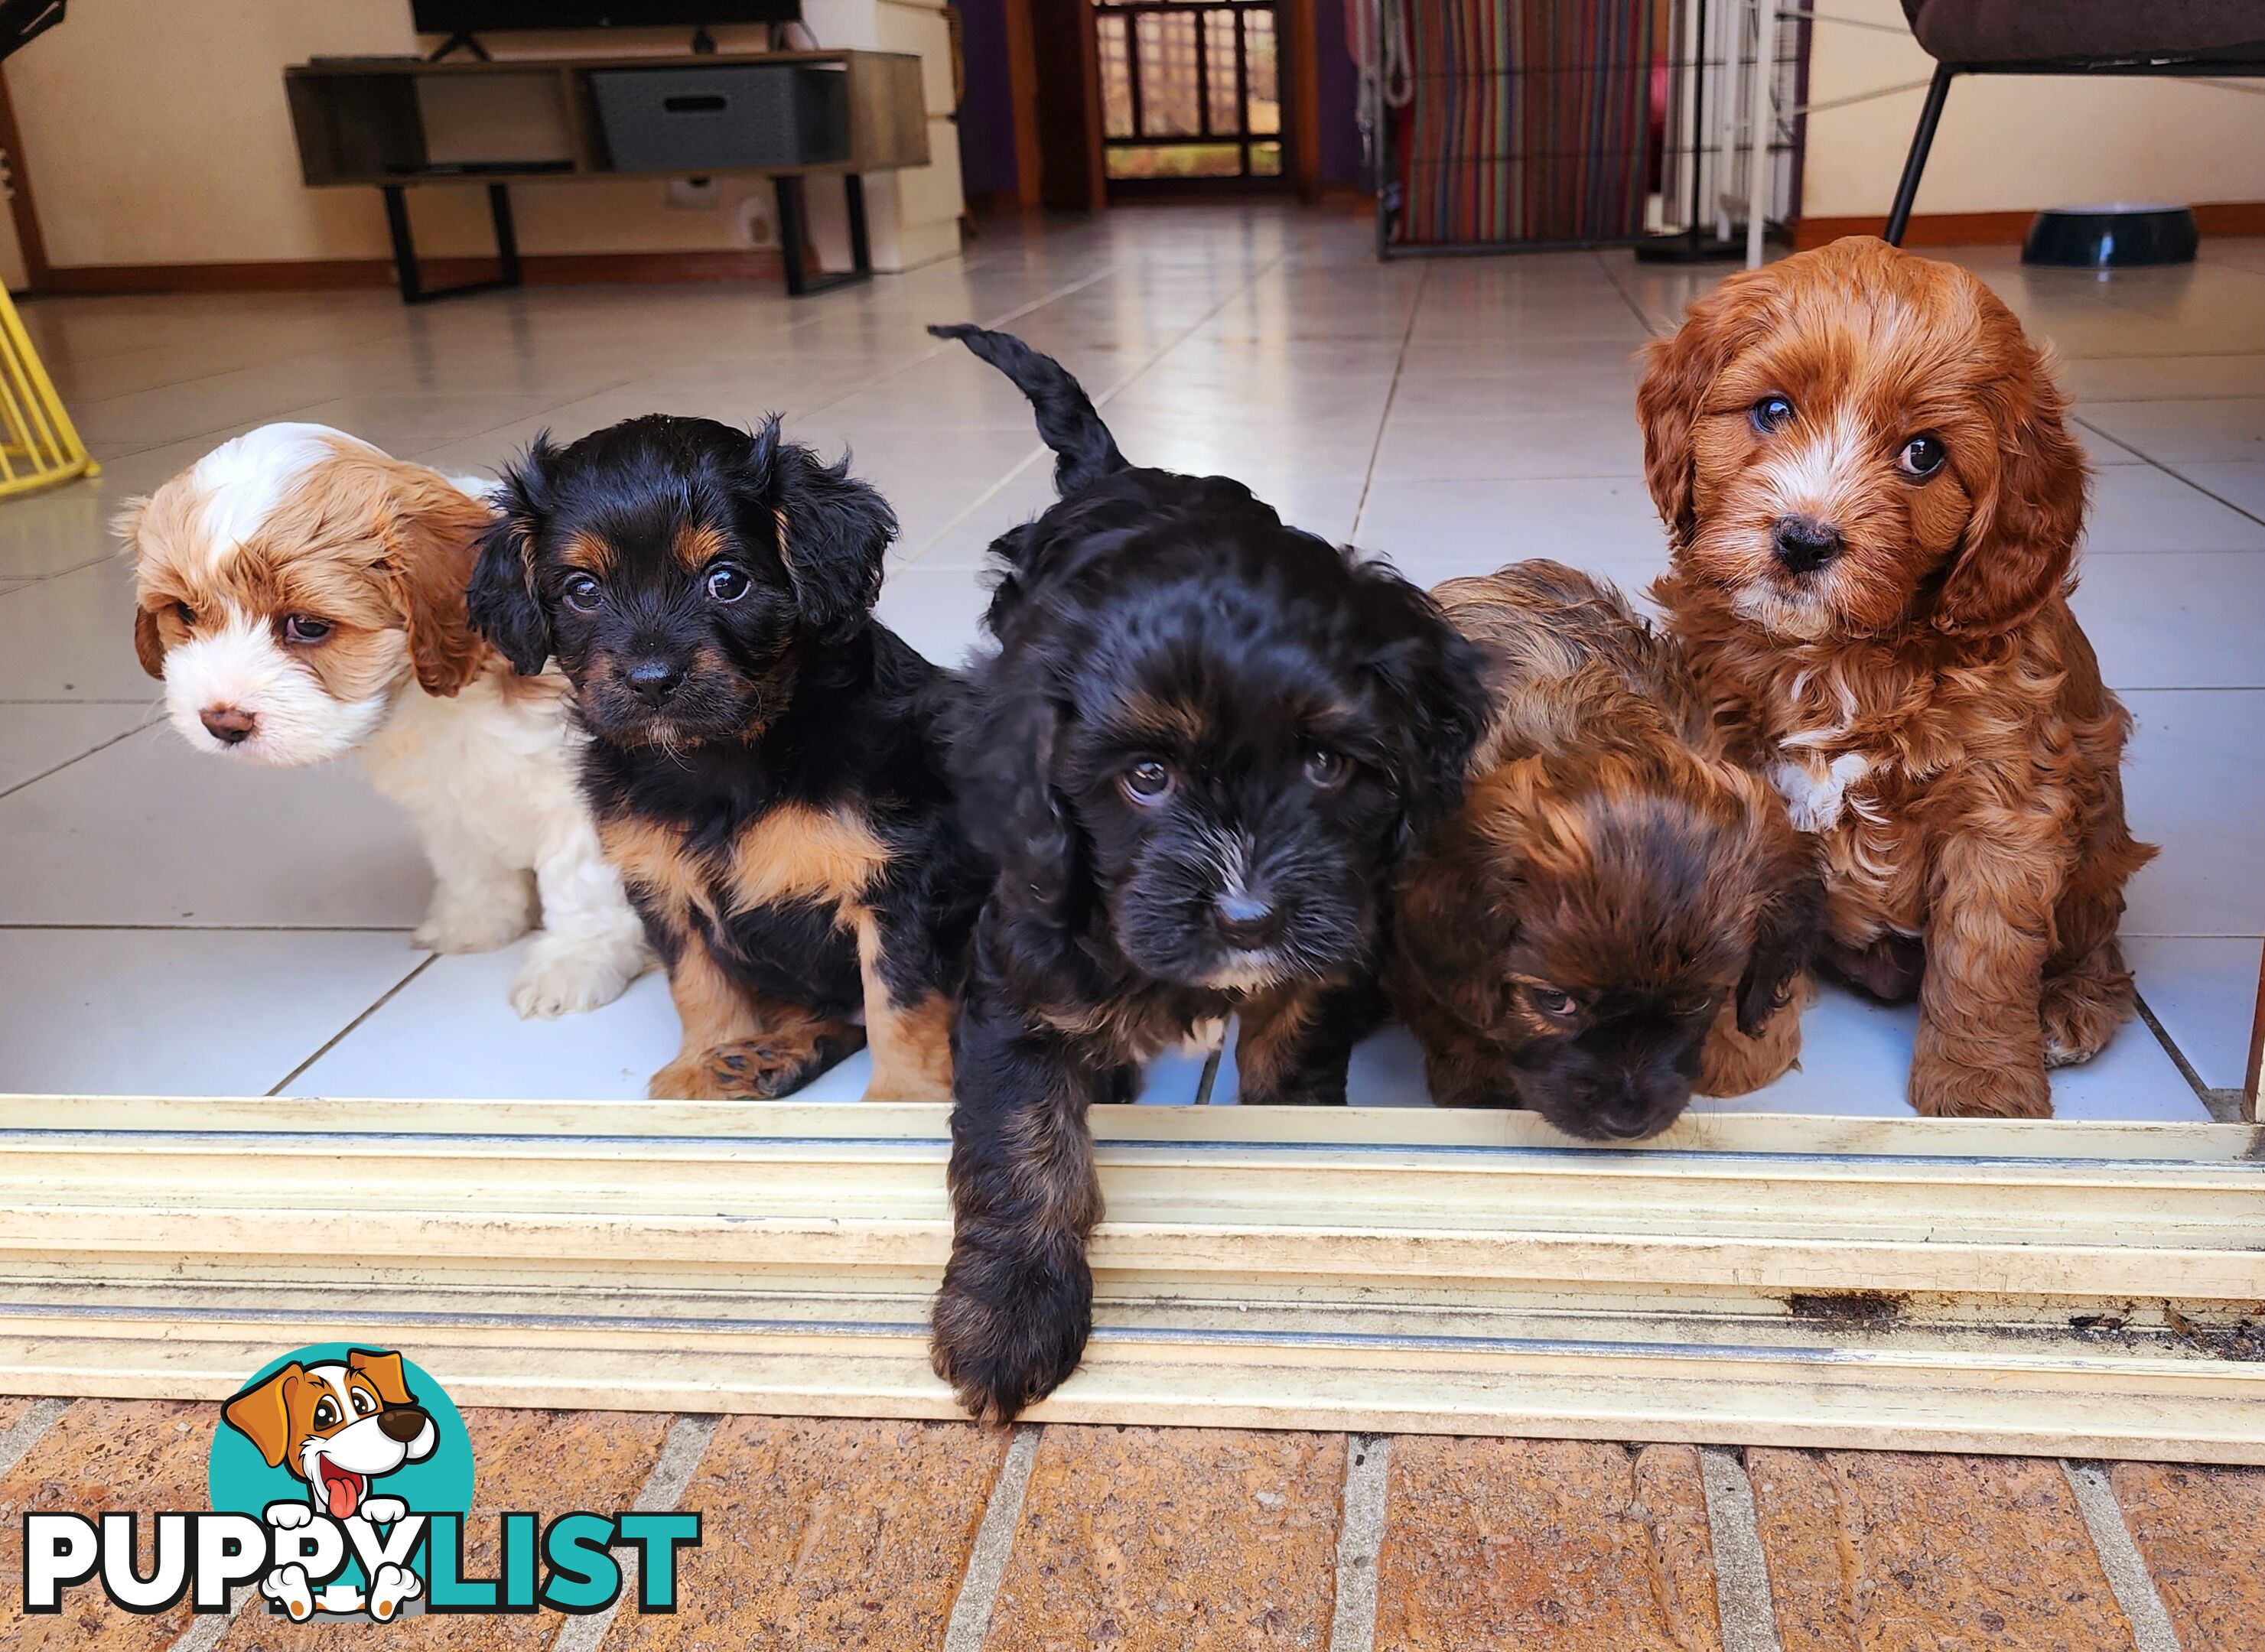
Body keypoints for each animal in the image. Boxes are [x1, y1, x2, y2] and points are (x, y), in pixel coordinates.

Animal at [124, 421, 652, 1019]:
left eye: (308, 626)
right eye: (184, 613)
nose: (222, 721)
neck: (440, 702)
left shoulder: (581, 794)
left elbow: (580, 881)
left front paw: (576, 962)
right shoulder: (447, 798)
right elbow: (467, 861)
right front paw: (474, 923)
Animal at [466, 412, 983, 1097]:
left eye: (727, 582)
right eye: (582, 591)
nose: (651, 680)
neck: (723, 758)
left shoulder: (901, 885)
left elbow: (901, 1004)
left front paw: (901, 1100)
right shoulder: (662, 887)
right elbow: (696, 982)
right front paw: (704, 1064)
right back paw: (767, 1054)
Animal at [919, 321, 1486, 1413]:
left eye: (1325, 765)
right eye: (1146, 777)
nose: (1251, 920)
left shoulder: (1320, 959)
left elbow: (1289, 1058)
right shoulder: (1019, 966)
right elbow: (1020, 1136)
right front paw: (1008, 1312)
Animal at [1639, 236, 2147, 1119]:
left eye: (1924, 455)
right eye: (1773, 410)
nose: (1804, 541)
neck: (1834, 660)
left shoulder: (2005, 809)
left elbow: (1984, 956)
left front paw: (1981, 1090)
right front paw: (1729, 1052)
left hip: (2098, 851)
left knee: (2098, 946)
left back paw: (2071, 1008)